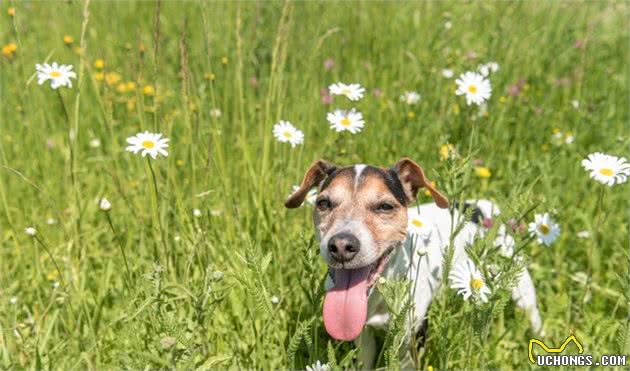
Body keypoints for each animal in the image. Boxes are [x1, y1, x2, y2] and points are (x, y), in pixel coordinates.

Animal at [288, 158, 544, 370]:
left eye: (385, 206)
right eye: (323, 203)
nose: (341, 245)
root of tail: (480, 208)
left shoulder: (410, 337)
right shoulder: (363, 336)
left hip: (518, 281)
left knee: (532, 312)